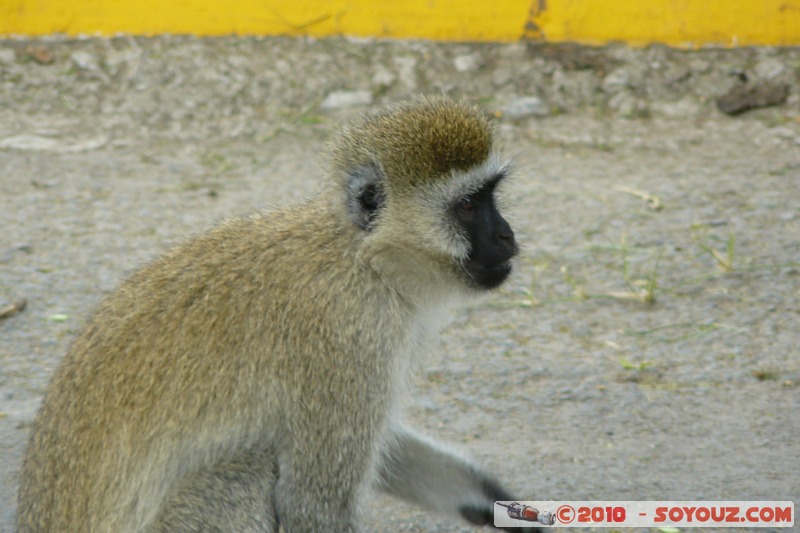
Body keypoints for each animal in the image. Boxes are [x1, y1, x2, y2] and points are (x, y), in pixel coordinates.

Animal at [17, 95, 536, 532]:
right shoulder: (347, 340)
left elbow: (385, 444)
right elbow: (314, 505)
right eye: (467, 206)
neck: (362, 260)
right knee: (241, 472)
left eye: (490, 196)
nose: (507, 236)